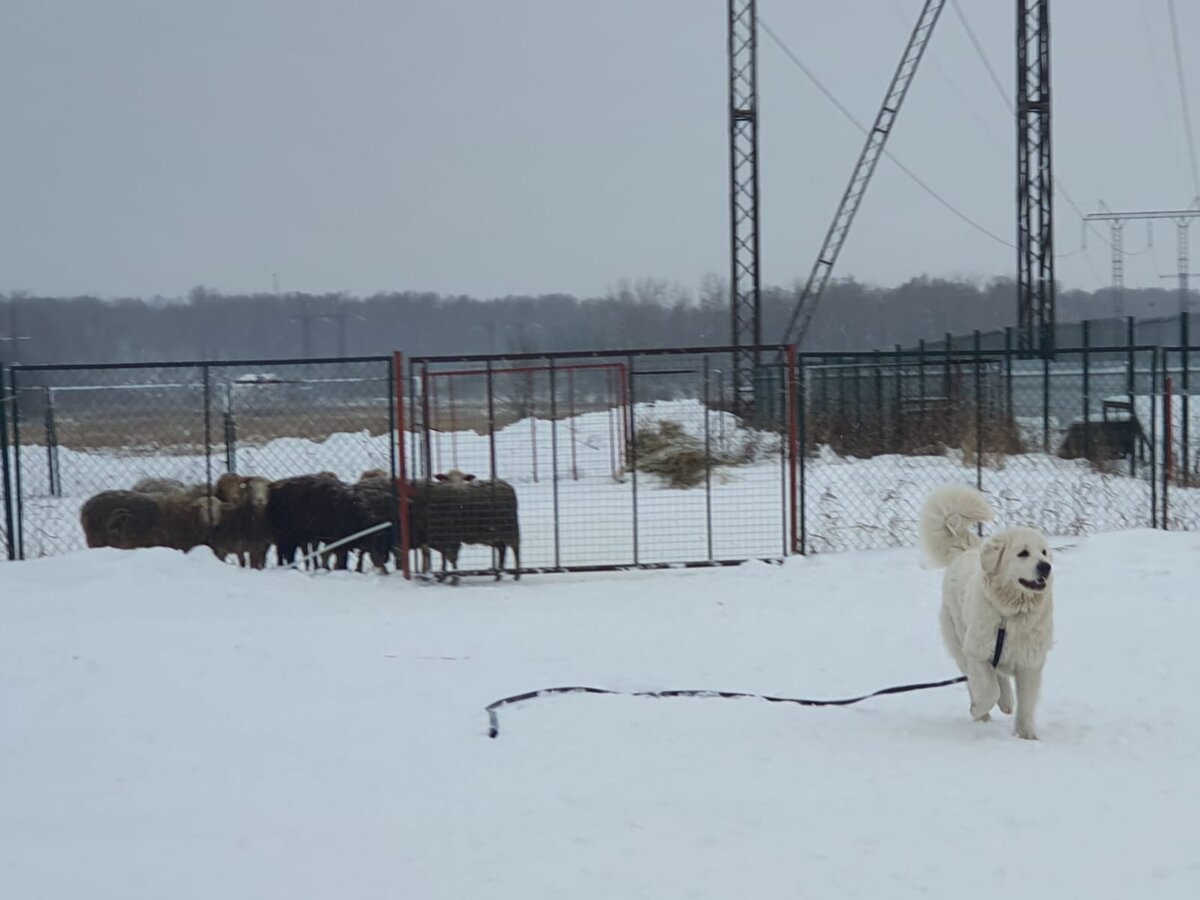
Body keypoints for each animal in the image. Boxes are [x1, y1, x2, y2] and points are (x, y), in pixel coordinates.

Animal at [916, 487, 1051, 739]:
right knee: (977, 679)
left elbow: (1027, 703)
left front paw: (1026, 736)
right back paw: (987, 712)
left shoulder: (1029, 662)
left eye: (1044, 552)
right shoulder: (977, 652)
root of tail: (966, 550)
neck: (1010, 615)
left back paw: (1006, 703)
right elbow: (988, 690)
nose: (1046, 566)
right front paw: (978, 708)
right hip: (960, 641)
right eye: (1023, 553)